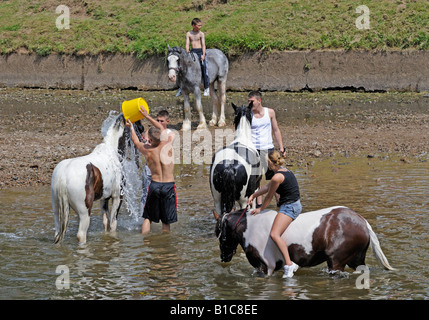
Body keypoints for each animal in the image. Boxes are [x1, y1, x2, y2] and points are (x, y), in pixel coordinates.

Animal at [50, 114, 143, 242]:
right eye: (138, 125)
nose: (143, 138)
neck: (112, 152)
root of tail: (63, 177)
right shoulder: (117, 197)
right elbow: (113, 224)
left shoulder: (104, 198)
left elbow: (106, 222)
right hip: (84, 213)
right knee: (81, 234)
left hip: (57, 210)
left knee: (57, 233)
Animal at [214, 206, 394, 276]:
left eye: (219, 232)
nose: (223, 257)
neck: (251, 226)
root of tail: (362, 221)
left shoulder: (265, 267)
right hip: (355, 259)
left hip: (336, 262)